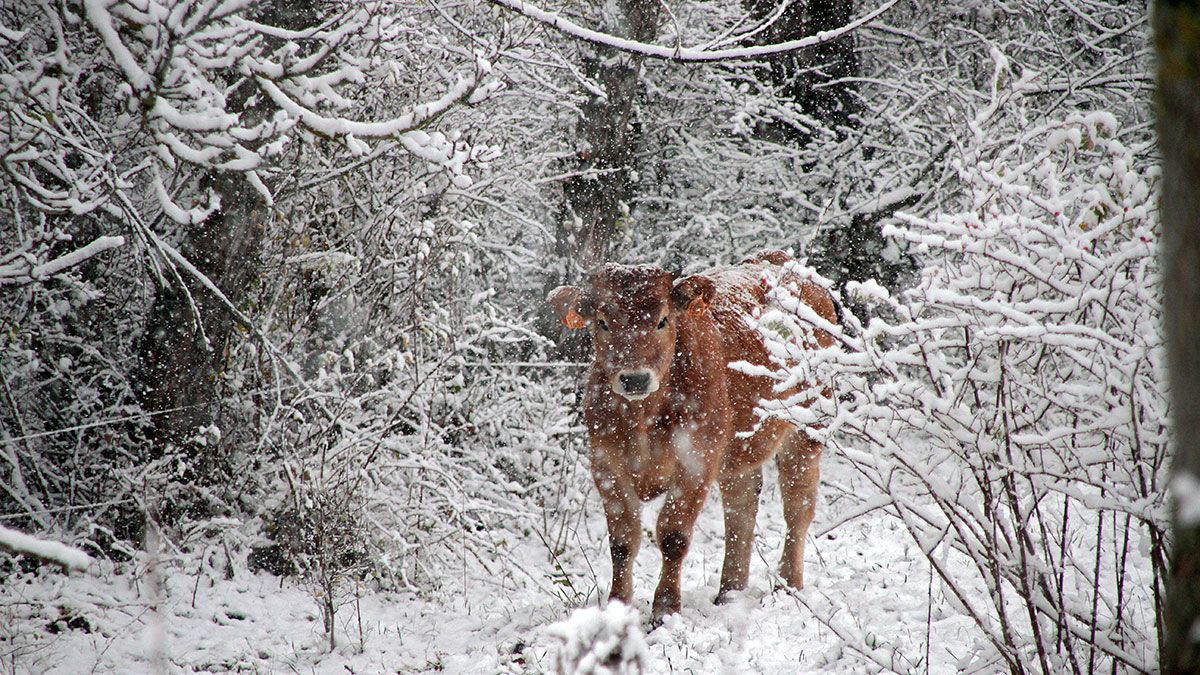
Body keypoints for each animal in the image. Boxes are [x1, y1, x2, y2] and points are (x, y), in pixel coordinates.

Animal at [547, 248, 835, 619]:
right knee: (741, 506)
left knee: (798, 505)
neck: (644, 417)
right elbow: (622, 541)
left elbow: (673, 535)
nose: (635, 378)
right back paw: (729, 592)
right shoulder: (605, 463)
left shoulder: (697, 460)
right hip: (737, 452)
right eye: (603, 322)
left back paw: (788, 585)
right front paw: (617, 606)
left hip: (807, 428)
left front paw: (665, 609)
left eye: (662, 320)